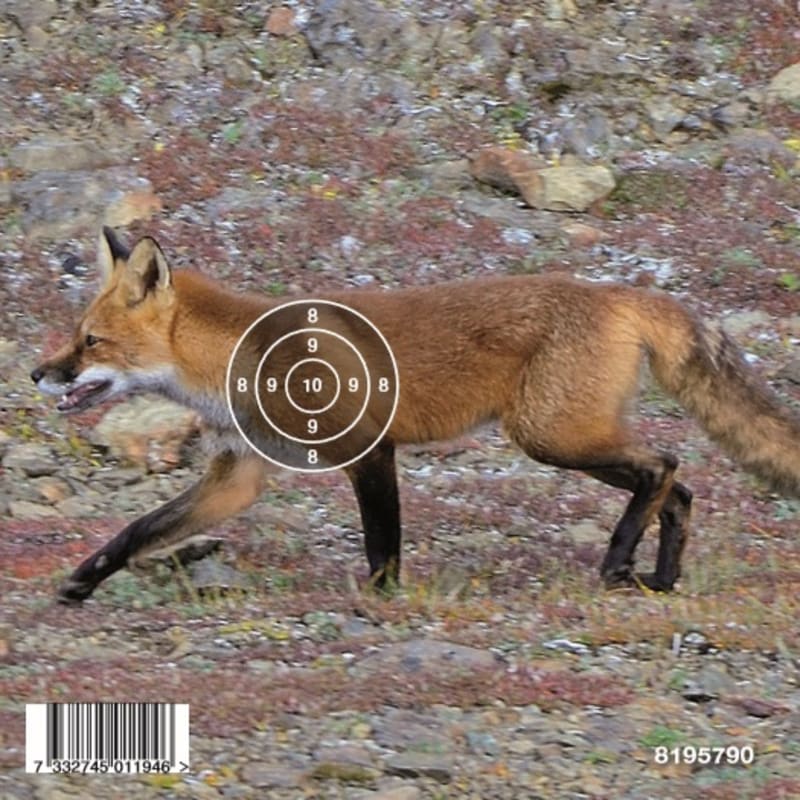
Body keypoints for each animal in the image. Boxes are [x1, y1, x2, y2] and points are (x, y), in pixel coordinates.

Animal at [31, 227, 800, 605]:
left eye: (90, 341)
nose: (38, 374)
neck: (241, 357)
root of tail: (620, 291)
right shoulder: (237, 475)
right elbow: (140, 528)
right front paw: (83, 581)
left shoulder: (369, 447)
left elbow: (382, 544)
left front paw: (381, 601)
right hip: (568, 436)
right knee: (682, 489)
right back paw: (661, 580)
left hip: (552, 437)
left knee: (664, 466)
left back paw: (617, 566)